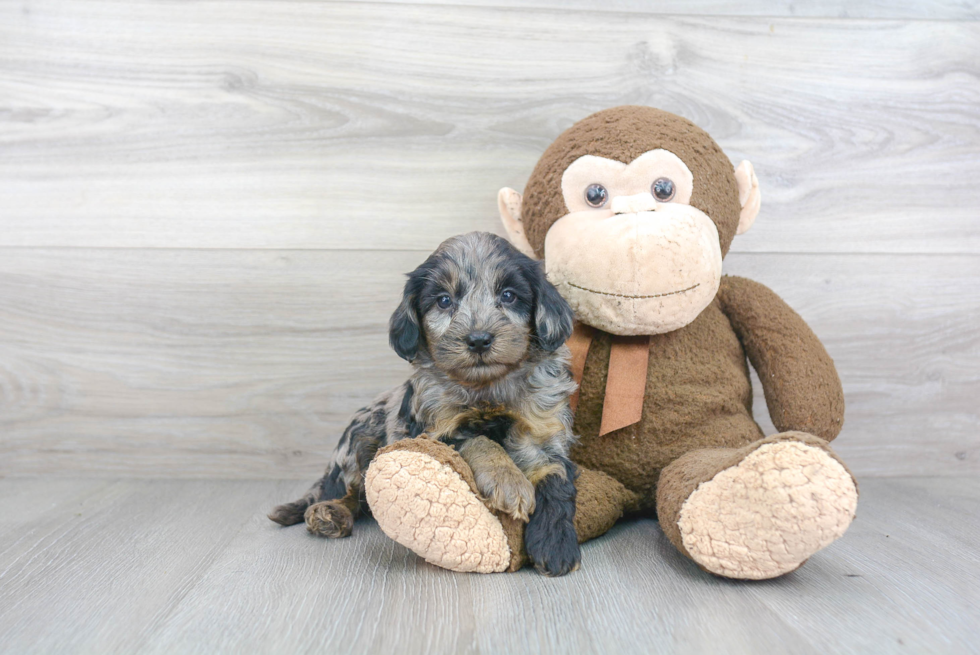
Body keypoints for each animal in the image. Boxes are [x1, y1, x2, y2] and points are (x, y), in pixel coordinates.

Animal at [270, 232, 580, 580]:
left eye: (509, 295)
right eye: (444, 301)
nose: (479, 339)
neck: (488, 388)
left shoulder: (546, 432)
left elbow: (556, 477)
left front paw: (556, 545)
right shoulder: (433, 431)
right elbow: (480, 440)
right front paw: (509, 481)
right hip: (359, 438)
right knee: (345, 489)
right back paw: (329, 512)